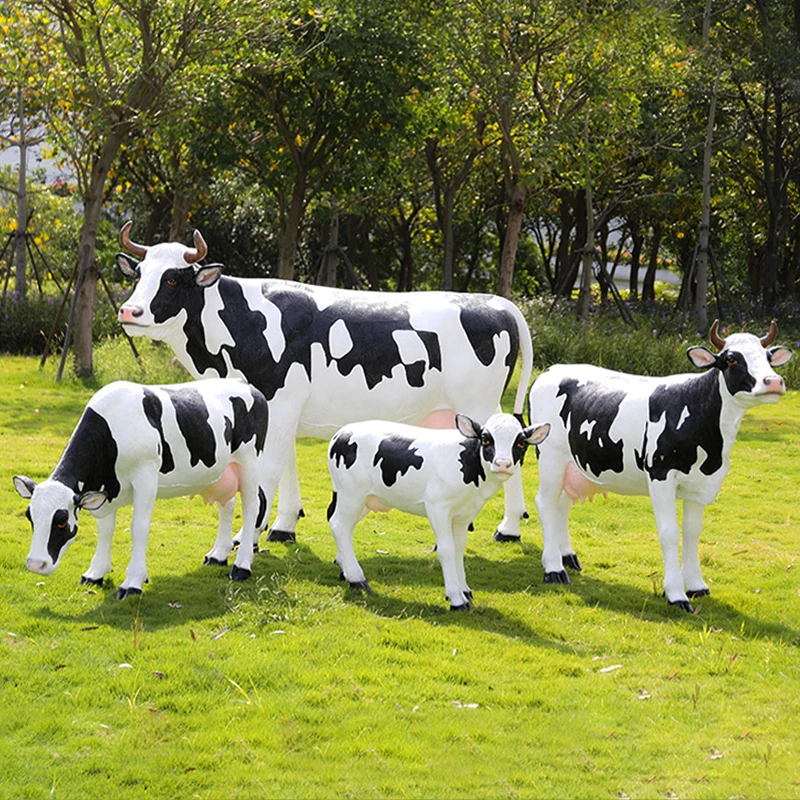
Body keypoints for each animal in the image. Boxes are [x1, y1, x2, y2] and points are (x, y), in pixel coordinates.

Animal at [13, 379, 284, 599]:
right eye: (30, 517)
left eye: (61, 522)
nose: (35, 564)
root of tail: (245, 384)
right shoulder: (107, 491)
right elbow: (105, 529)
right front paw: (95, 573)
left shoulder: (145, 477)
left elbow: (139, 528)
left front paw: (133, 581)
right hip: (222, 470)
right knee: (227, 506)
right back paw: (217, 555)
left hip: (250, 462)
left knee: (251, 508)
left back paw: (241, 566)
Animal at [115, 222, 534, 545]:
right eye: (138, 275)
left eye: (171, 278)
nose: (129, 311)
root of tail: (495, 302)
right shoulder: (277, 408)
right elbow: (286, 465)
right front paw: (283, 526)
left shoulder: (280, 400)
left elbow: (268, 470)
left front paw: (246, 536)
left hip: (478, 403)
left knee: (507, 451)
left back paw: (508, 528)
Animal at [326, 413, 550, 610]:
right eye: (486, 439)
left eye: (520, 444)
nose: (503, 463)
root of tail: (342, 432)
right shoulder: (438, 506)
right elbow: (447, 549)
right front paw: (456, 598)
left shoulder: (464, 514)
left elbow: (459, 549)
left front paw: (464, 589)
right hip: (351, 493)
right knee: (338, 525)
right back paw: (357, 579)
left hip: (362, 499)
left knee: (342, 525)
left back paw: (345, 570)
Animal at [527, 321, 792, 612]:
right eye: (732, 359)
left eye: (768, 358)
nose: (774, 382)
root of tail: (553, 369)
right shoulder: (660, 474)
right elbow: (669, 532)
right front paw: (676, 593)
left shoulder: (702, 482)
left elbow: (692, 532)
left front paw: (697, 586)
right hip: (550, 455)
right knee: (546, 501)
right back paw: (553, 568)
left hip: (574, 464)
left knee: (562, 503)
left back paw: (567, 557)